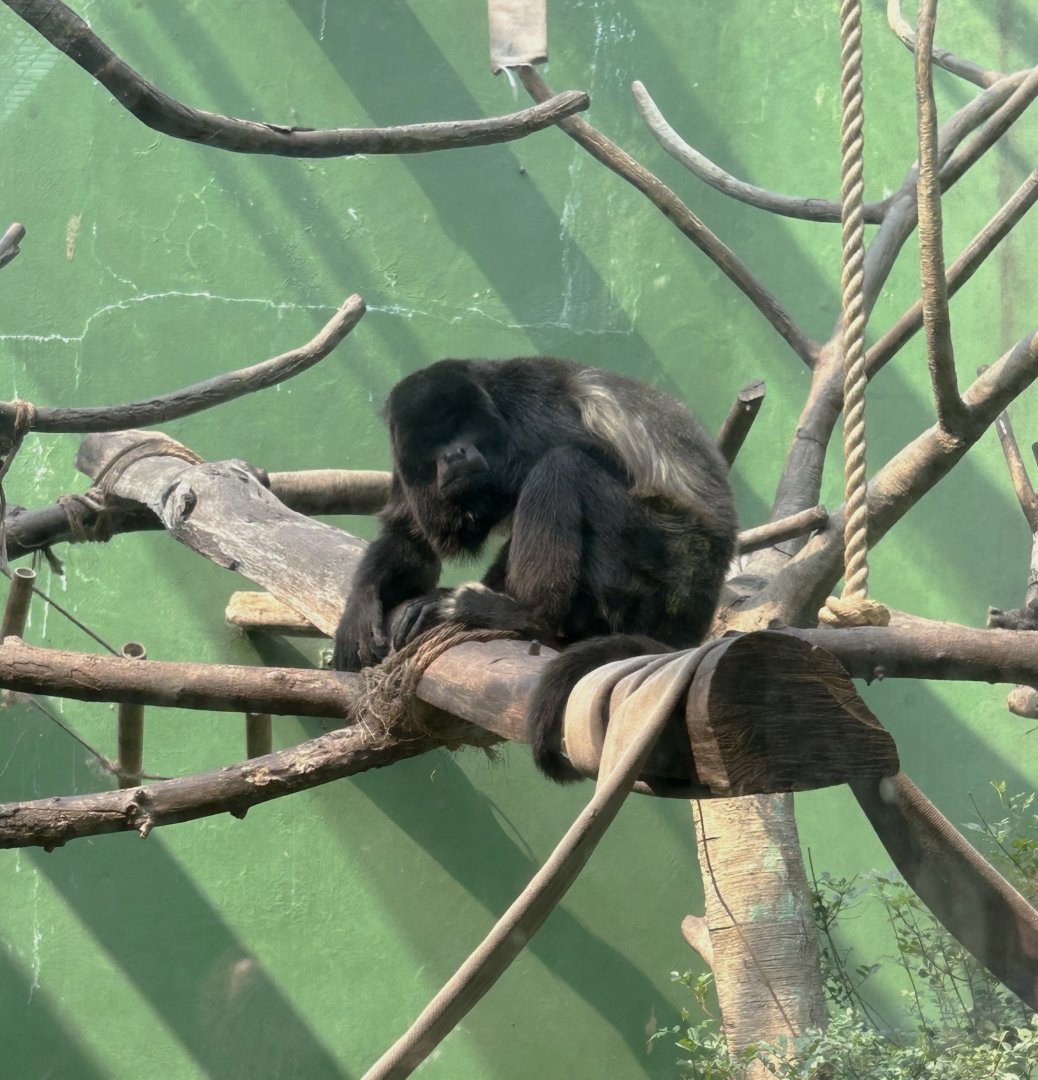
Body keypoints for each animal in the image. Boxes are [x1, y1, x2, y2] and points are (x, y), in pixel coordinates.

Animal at [333, 357, 737, 782]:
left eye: (461, 426)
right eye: (432, 441)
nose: (455, 453)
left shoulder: (533, 422)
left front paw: (444, 600)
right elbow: (409, 535)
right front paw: (360, 606)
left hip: (659, 569)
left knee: (563, 466)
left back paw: (528, 614)